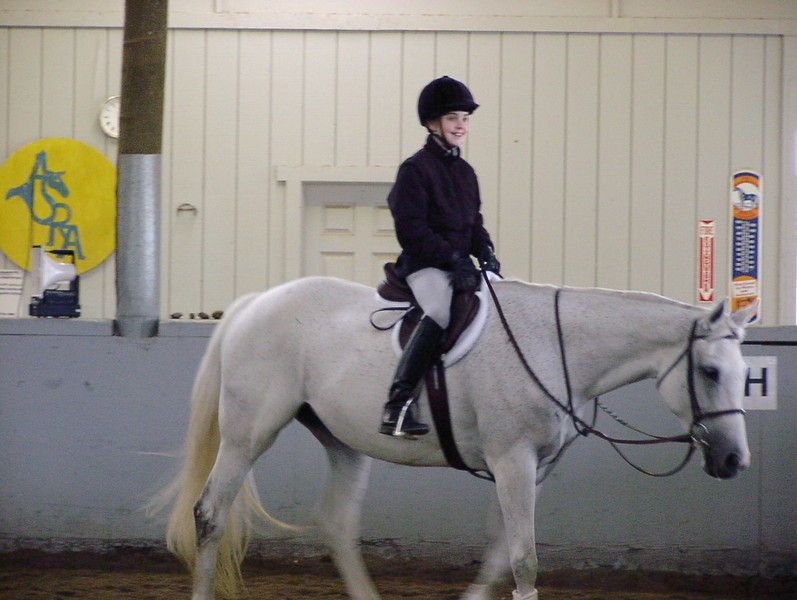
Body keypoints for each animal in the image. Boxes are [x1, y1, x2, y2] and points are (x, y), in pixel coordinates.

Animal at [160, 275, 756, 600]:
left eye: (745, 371)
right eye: (709, 371)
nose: (734, 460)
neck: (555, 346)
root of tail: (256, 303)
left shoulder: (534, 467)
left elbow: (499, 555)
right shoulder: (512, 460)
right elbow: (523, 558)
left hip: (343, 440)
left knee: (337, 522)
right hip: (248, 434)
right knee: (210, 514)